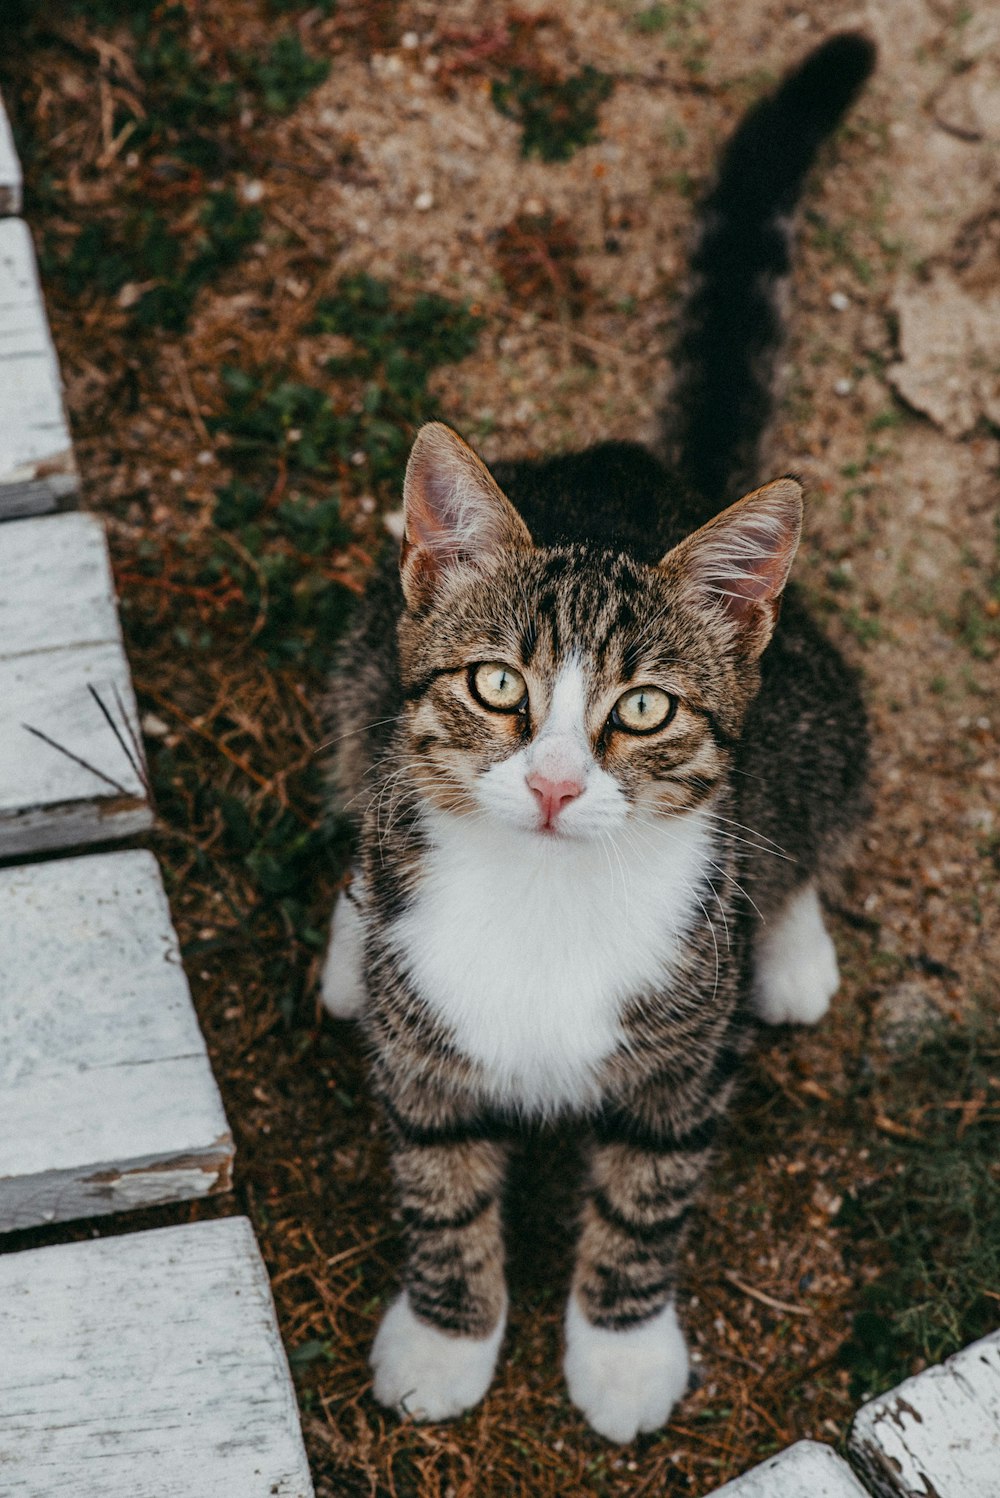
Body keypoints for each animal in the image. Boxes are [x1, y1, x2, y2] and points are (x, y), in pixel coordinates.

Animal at [321, 32, 874, 1438]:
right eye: (497, 686)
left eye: (643, 708)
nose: (561, 784)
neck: (545, 895)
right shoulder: (431, 1066)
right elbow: (438, 1185)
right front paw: (446, 1336)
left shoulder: (683, 1068)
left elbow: (645, 1201)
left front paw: (620, 1352)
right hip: (353, 657)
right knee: (359, 774)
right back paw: (353, 942)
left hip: (828, 701)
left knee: (811, 809)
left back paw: (790, 943)